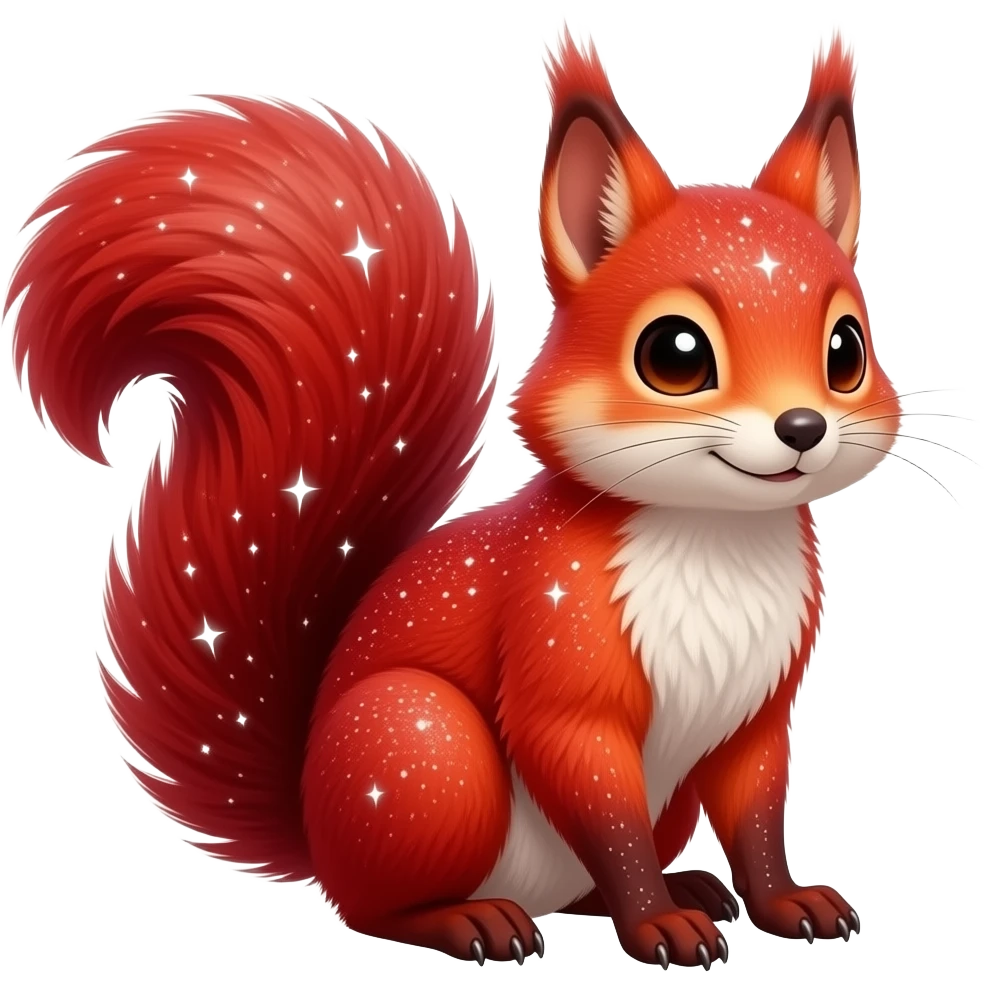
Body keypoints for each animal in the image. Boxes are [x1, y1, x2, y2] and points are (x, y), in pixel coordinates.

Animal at [10, 17, 949, 972]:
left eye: (846, 350)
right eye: (675, 354)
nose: (802, 427)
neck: (715, 537)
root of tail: (315, 828)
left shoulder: (757, 713)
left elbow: (756, 814)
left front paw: (784, 900)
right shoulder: (558, 650)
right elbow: (600, 804)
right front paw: (654, 926)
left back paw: (683, 885)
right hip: (424, 749)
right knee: (376, 907)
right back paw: (475, 920)